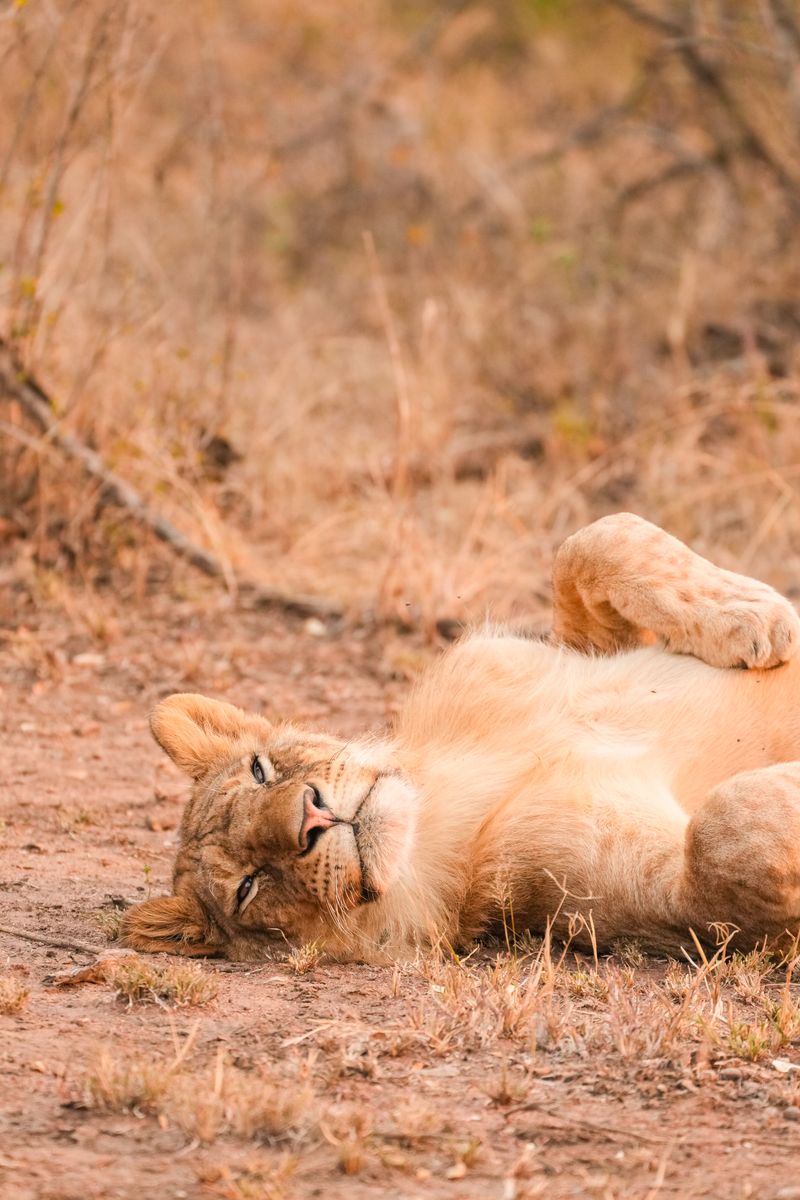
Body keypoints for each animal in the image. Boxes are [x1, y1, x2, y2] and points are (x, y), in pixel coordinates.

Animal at [120, 513, 800, 961]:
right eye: (248, 886)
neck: (444, 788)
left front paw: (755, 613)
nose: (312, 816)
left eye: (262, 770)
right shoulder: (666, 909)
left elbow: (594, 540)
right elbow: (722, 835)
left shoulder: (569, 648)